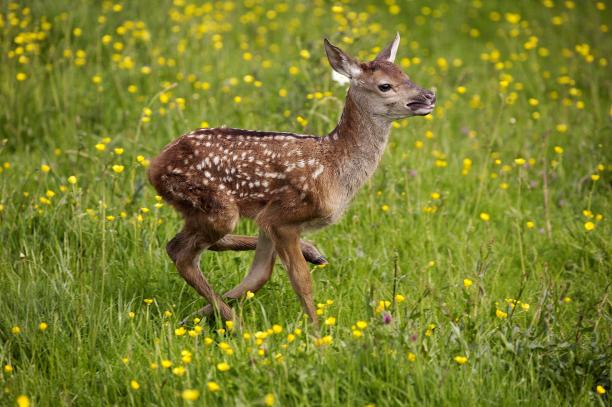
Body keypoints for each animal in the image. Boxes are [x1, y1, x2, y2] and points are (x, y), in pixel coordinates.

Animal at [148, 34, 436, 328]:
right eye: (385, 85)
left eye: (406, 74)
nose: (429, 96)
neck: (333, 167)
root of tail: (154, 166)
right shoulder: (283, 217)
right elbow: (300, 281)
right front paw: (318, 334)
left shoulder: (268, 217)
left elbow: (258, 275)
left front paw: (195, 317)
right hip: (214, 205)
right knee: (181, 253)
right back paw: (237, 326)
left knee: (191, 245)